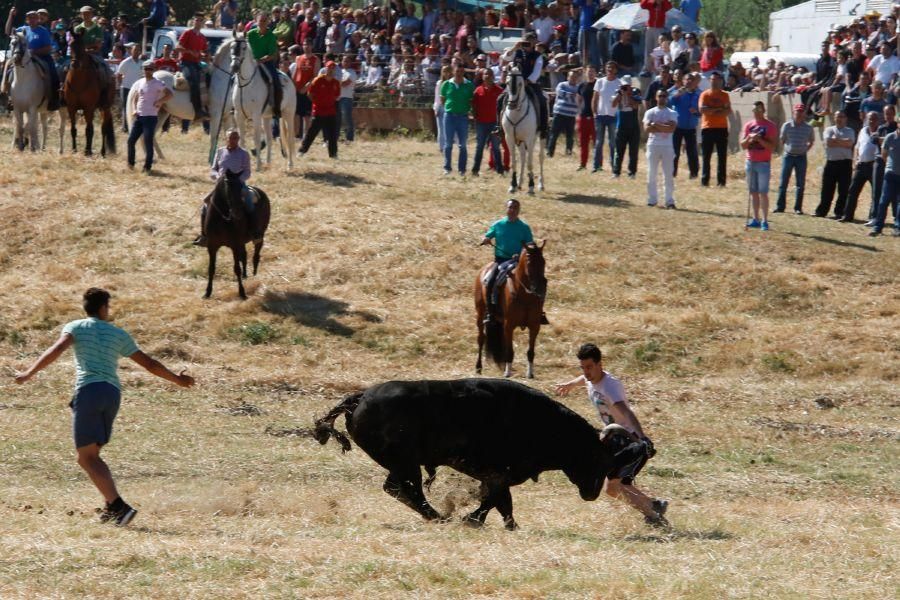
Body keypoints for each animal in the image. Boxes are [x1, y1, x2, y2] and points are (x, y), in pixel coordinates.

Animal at [205, 170, 270, 298]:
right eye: (228, 188)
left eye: (240, 187)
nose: (238, 212)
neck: (221, 219)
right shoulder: (212, 246)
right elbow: (211, 268)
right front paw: (207, 292)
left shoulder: (234, 245)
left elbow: (236, 268)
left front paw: (242, 293)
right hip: (242, 242)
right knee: (244, 256)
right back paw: (245, 275)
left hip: (260, 234)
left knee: (256, 251)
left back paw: (254, 271)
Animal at [229, 34, 296, 170]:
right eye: (231, 46)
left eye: (244, 48)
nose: (234, 67)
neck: (246, 85)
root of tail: (288, 78)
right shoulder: (238, 115)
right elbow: (241, 139)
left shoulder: (256, 116)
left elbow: (256, 139)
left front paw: (258, 165)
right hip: (266, 117)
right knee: (269, 138)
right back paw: (268, 161)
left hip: (288, 114)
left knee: (290, 138)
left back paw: (290, 164)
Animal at [314, 378, 640, 528]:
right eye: (600, 458)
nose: (593, 493)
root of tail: (360, 398)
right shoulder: (500, 474)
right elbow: (494, 500)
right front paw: (473, 520)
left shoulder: (499, 476)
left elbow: (502, 503)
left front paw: (509, 526)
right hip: (406, 464)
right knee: (404, 488)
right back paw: (439, 517)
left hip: (404, 464)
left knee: (399, 489)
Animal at [474, 241, 544, 378]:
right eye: (529, 263)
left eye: (543, 262)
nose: (539, 288)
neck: (525, 295)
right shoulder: (509, 325)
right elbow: (510, 351)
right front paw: (507, 373)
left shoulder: (534, 326)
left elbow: (530, 351)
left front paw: (530, 374)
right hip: (480, 313)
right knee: (481, 339)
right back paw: (478, 367)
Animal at [500, 67, 540, 195]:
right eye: (507, 82)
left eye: (520, 83)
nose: (512, 104)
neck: (516, 113)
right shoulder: (510, 138)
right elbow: (514, 162)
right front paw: (512, 185)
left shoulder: (529, 139)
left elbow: (530, 163)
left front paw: (531, 186)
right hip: (520, 141)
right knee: (522, 157)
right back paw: (520, 183)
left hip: (540, 137)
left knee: (540, 157)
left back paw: (540, 185)